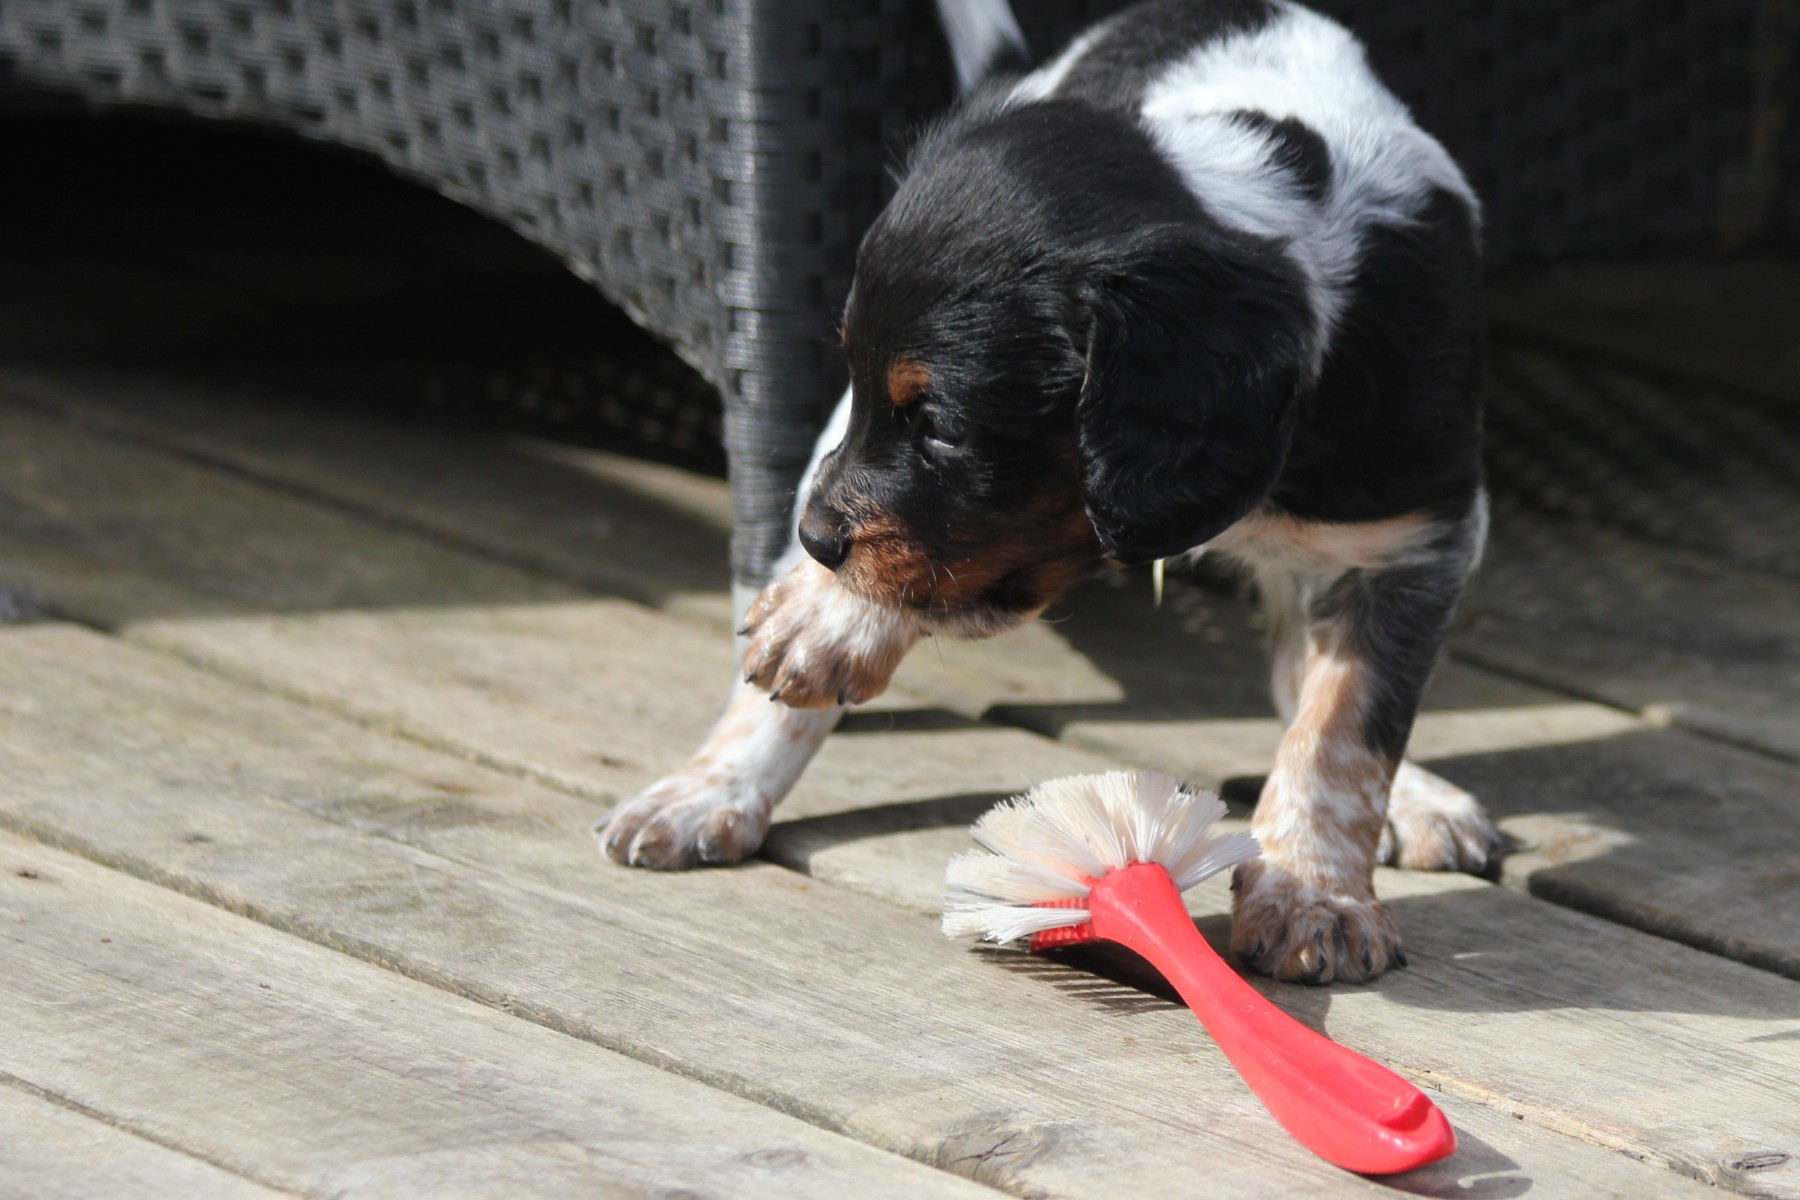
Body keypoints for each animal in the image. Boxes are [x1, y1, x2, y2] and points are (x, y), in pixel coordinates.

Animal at [598, 0, 1499, 985]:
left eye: (944, 426)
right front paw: (815, 636)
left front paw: (1314, 894)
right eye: (867, 381)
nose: (813, 541)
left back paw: (1417, 797)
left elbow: (1343, 728)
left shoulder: (1417, 538)